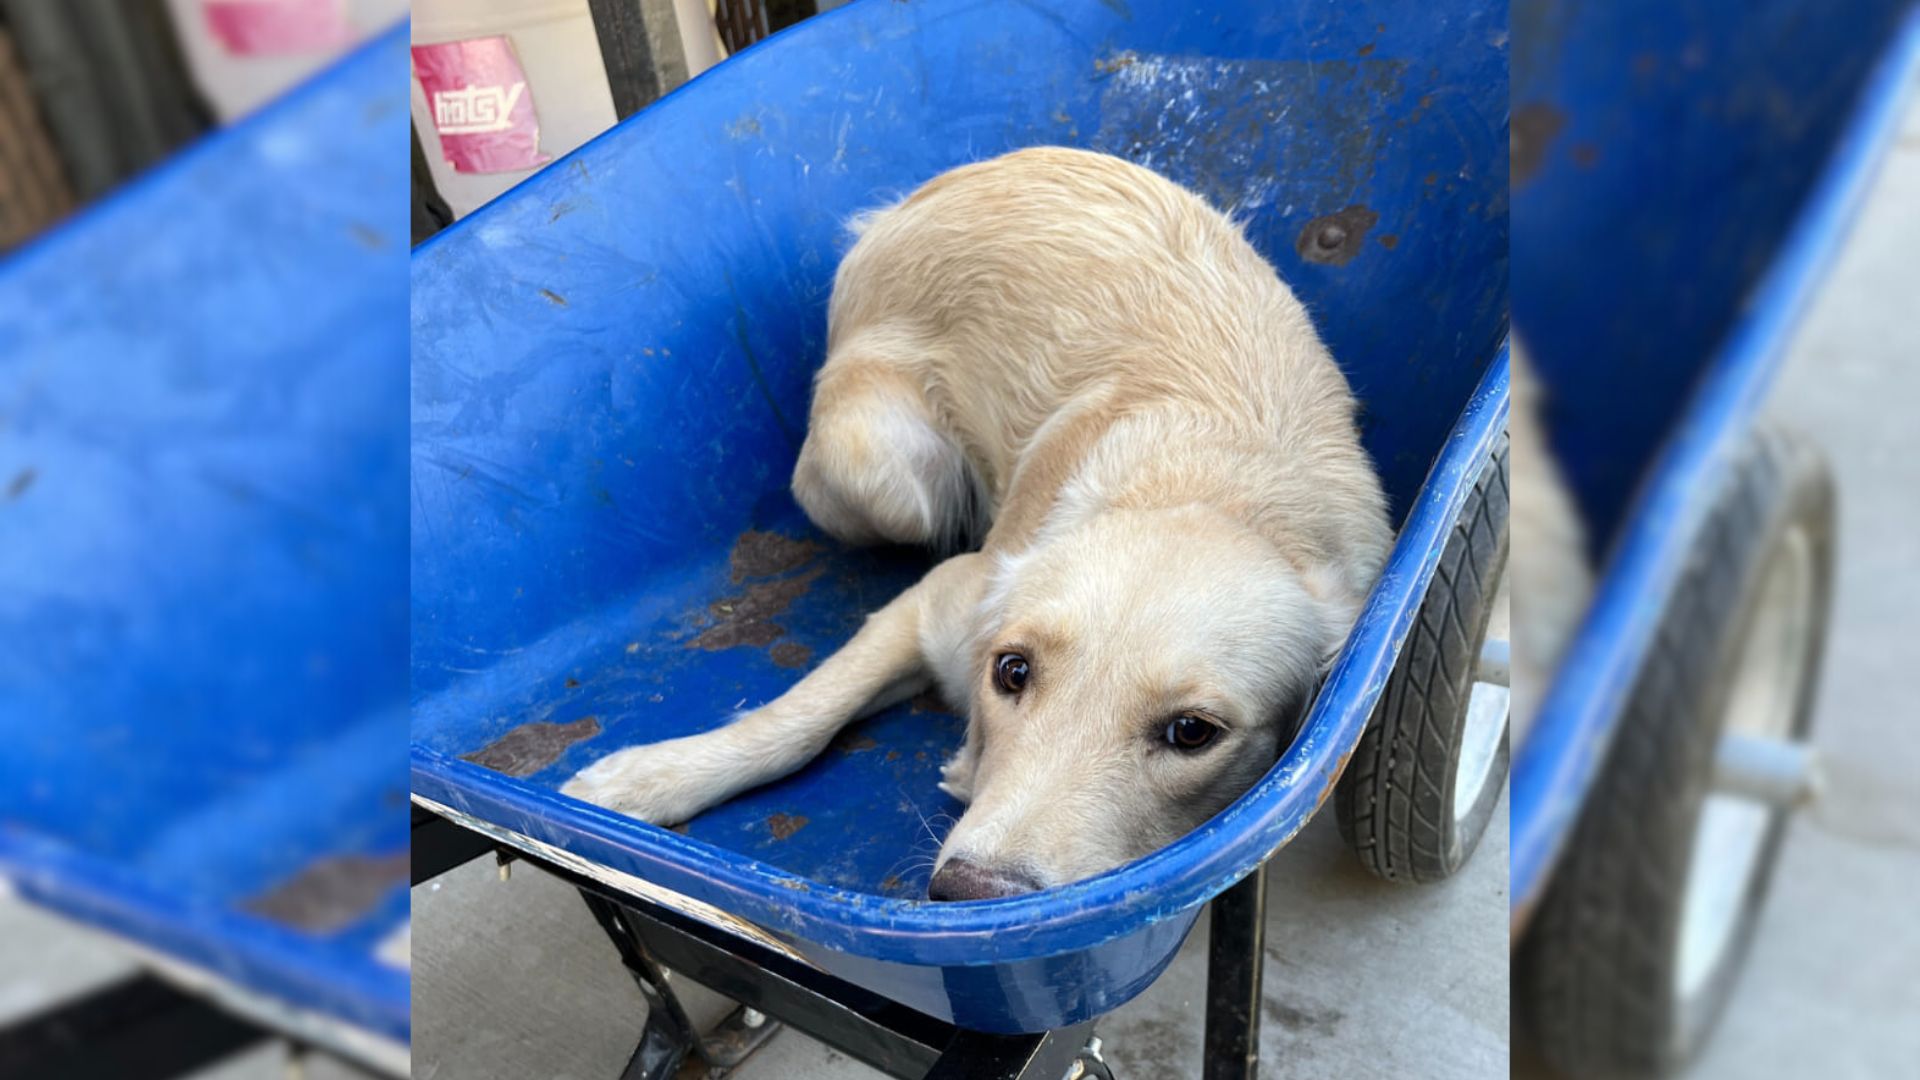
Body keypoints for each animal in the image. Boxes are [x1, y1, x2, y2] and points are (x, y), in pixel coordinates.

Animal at [560, 147, 1390, 895]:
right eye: (1012, 671)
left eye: (1192, 732)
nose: (968, 893)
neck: (1211, 491)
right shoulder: (942, 600)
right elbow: (796, 719)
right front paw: (653, 777)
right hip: (882, 473)